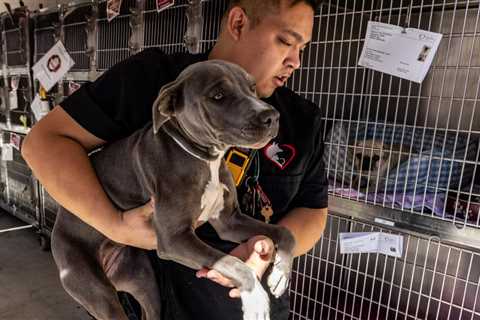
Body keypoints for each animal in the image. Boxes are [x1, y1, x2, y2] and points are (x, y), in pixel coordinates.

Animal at [49, 60, 296, 320]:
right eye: (218, 95)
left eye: (252, 88)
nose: (272, 116)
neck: (205, 159)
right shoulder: (174, 239)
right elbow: (232, 263)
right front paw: (256, 300)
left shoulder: (229, 222)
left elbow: (284, 231)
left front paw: (280, 273)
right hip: (98, 293)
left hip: (144, 281)